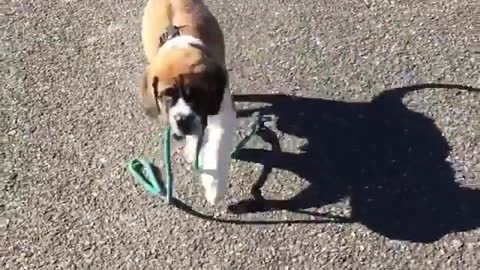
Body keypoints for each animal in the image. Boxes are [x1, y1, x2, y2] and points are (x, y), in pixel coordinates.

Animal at [139, 0, 236, 206]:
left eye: (196, 94)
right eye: (165, 95)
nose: (182, 121)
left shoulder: (222, 109)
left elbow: (218, 146)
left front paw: (214, 187)